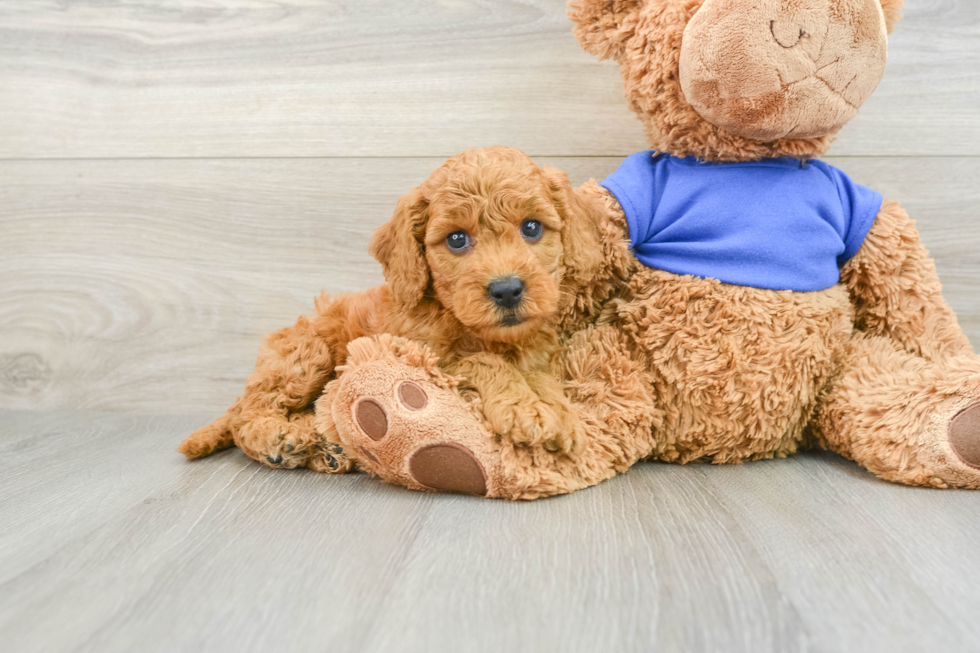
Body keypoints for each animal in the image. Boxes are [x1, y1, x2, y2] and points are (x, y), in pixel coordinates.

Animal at [177, 146, 616, 474]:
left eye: (532, 228)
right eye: (457, 239)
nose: (507, 290)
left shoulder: (536, 357)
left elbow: (542, 379)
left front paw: (554, 409)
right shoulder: (428, 358)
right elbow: (483, 361)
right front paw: (526, 407)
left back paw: (327, 449)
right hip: (304, 356)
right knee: (246, 416)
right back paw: (279, 440)